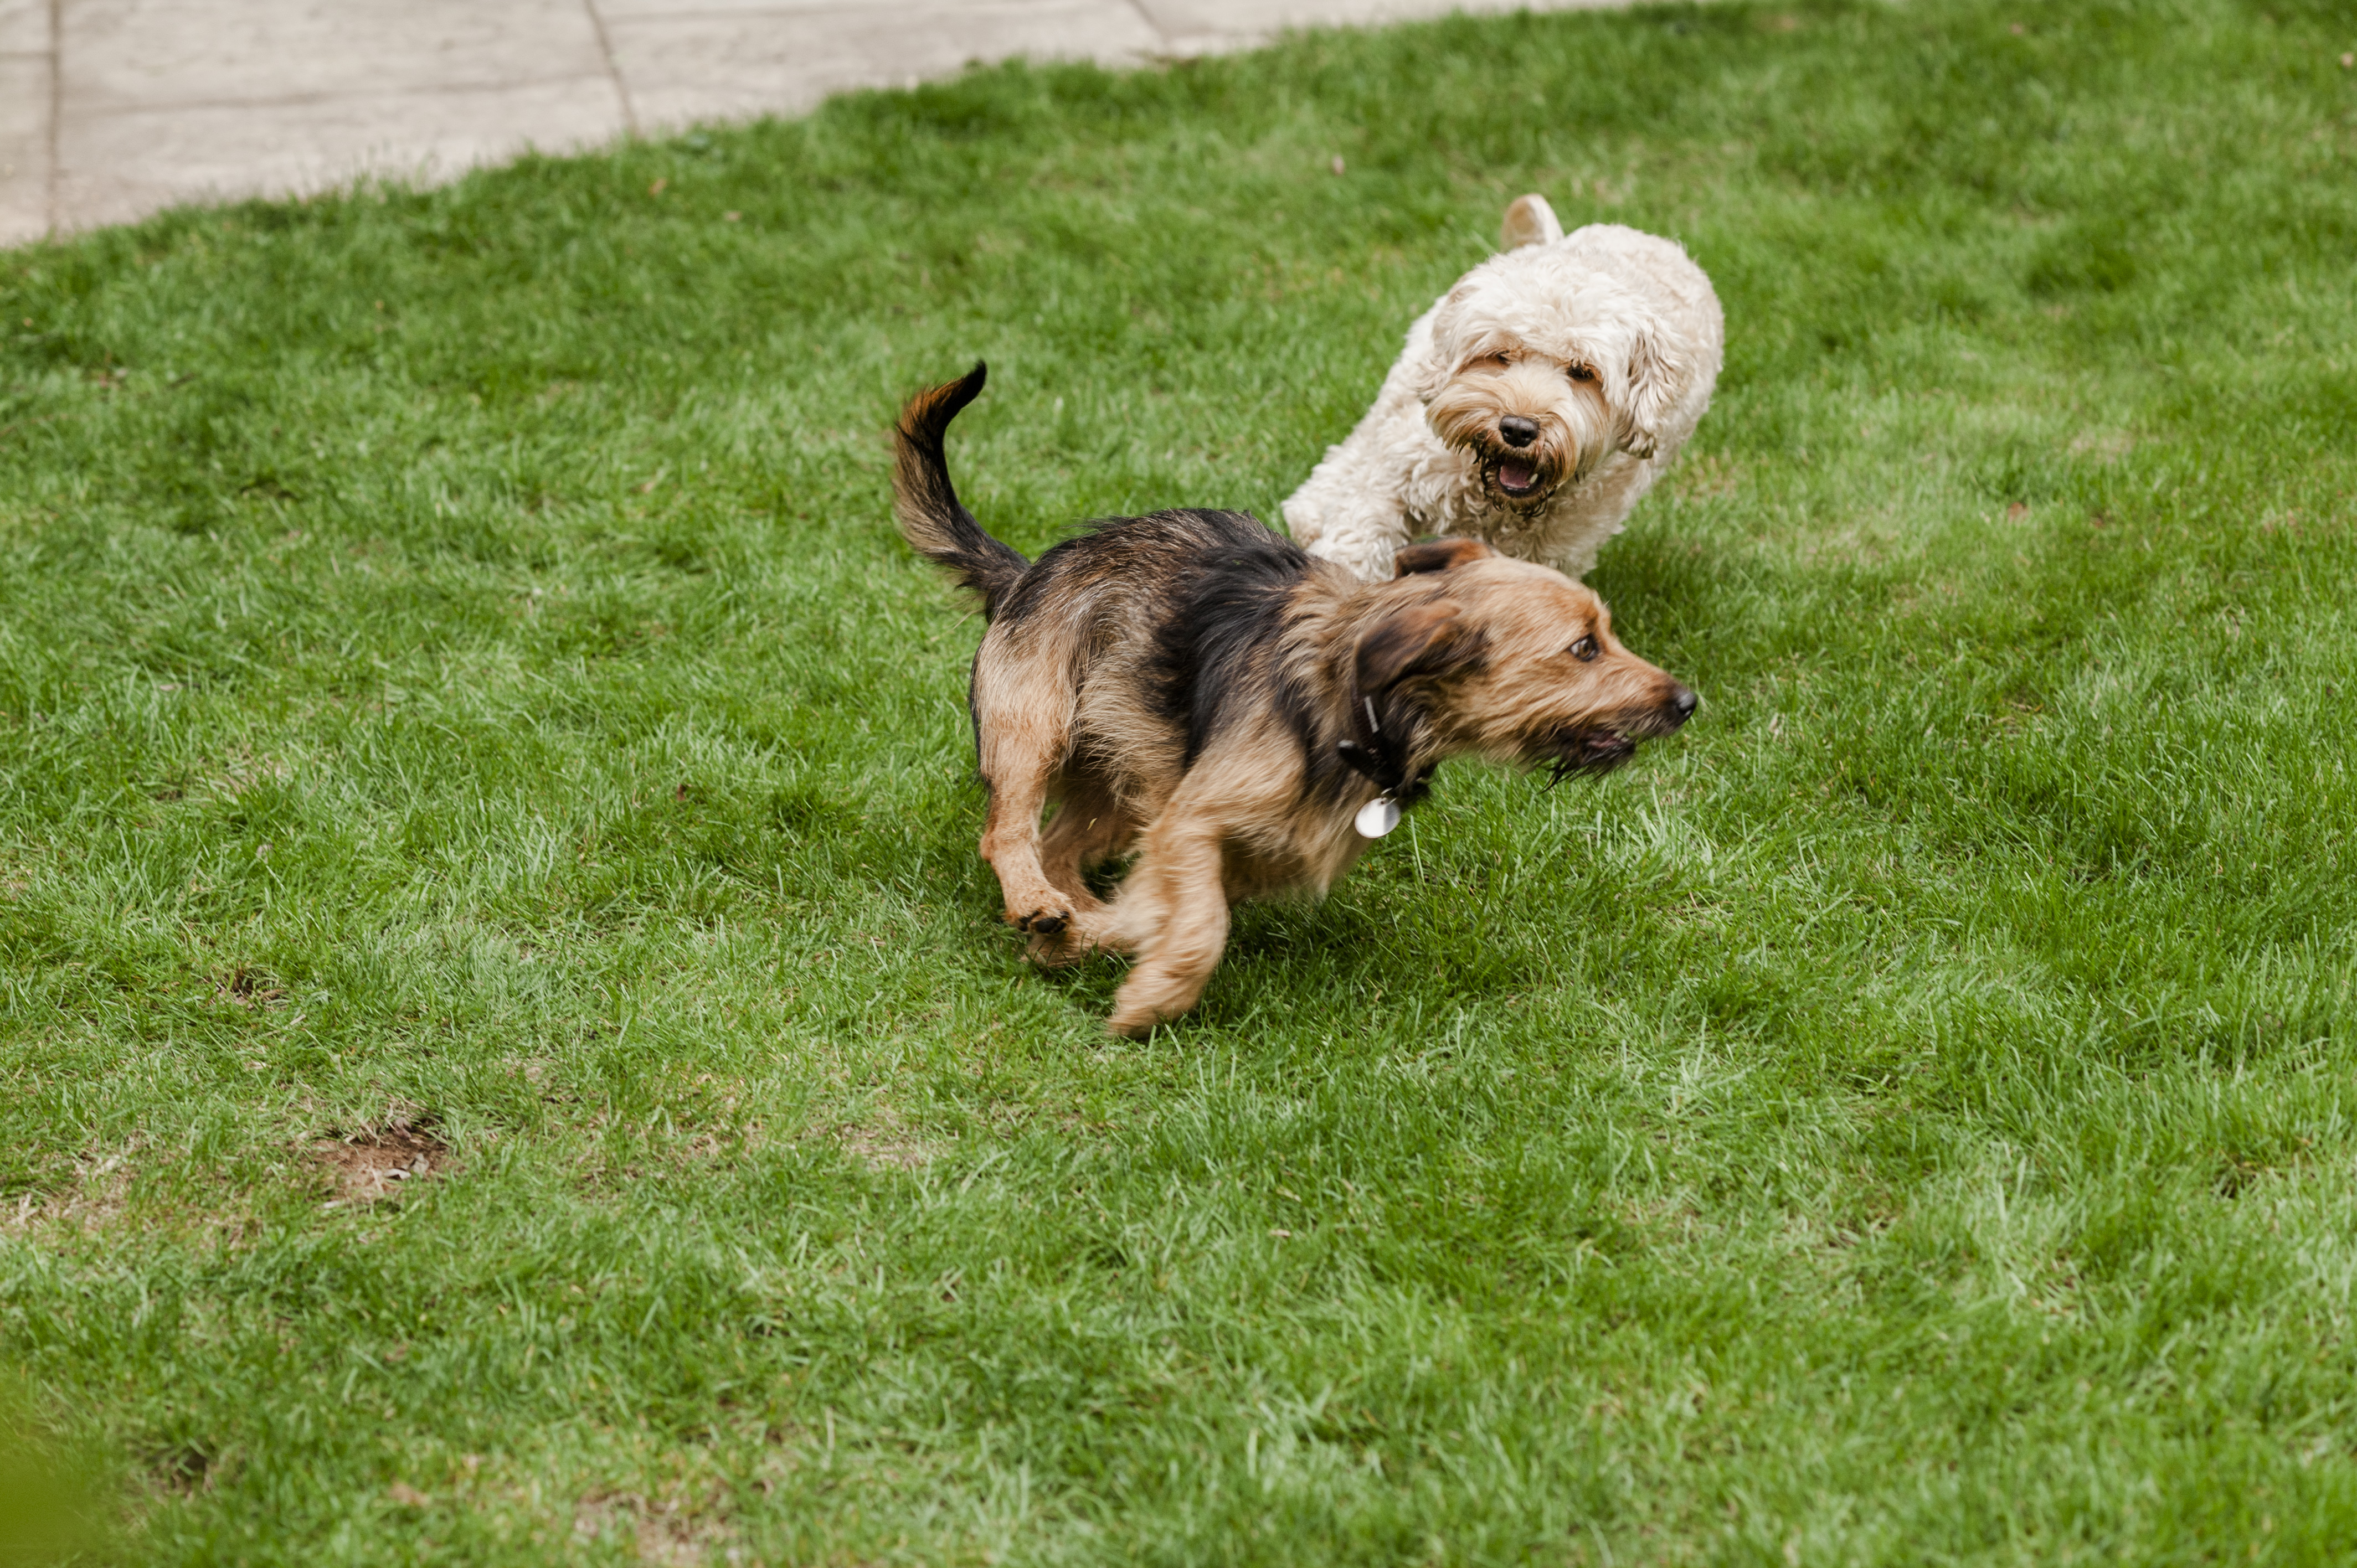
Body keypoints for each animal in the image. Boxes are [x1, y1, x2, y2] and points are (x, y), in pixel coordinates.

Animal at [886, 360, 1697, 1033]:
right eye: (1584, 647)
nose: (1688, 700)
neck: (1365, 710)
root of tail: (1025, 571)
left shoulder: (1211, 846)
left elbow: (1151, 914)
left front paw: (1082, 944)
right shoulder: (1192, 823)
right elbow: (1200, 929)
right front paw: (1151, 999)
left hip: (1124, 779)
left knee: (1061, 846)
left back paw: (1058, 913)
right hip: (1032, 727)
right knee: (1009, 832)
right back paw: (1033, 899)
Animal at [1282, 200, 1725, 580]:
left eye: (1583, 372)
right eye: (1501, 355)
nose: (1518, 429)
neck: (1491, 499)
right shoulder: (1394, 483)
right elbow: (1356, 543)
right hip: (1406, 382)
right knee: (1357, 447)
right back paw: (1308, 513)